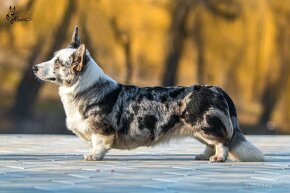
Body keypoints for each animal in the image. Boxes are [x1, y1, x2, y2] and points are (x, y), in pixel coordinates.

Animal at [32, 25, 264, 161]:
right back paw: (203, 156)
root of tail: (219, 89)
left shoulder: (102, 130)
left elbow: (99, 144)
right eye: (53, 57)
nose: (34, 68)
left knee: (222, 142)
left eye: (58, 63)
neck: (84, 88)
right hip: (198, 130)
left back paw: (218, 158)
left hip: (204, 125)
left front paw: (93, 156)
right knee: (212, 144)